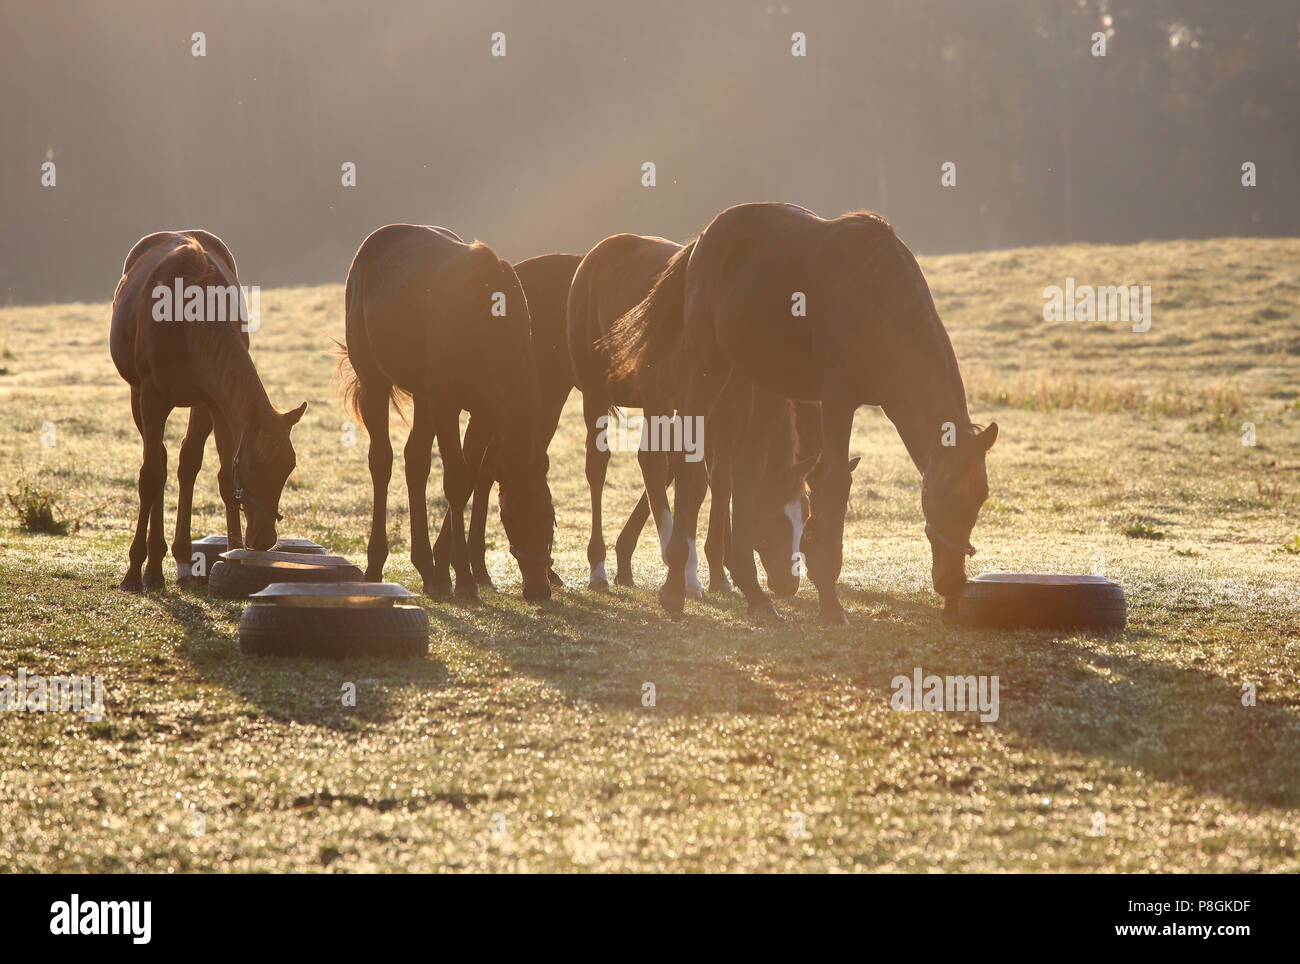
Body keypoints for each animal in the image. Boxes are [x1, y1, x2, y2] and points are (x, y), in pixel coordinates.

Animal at [108, 229, 306, 592]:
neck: (188, 322)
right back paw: (152, 566)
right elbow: (150, 476)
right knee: (158, 463)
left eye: (289, 467)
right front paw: (134, 571)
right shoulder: (152, 396)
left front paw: (233, 554)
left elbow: (222, 476)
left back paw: (179, 559)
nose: (263, 538)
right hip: (137, 395)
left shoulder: (211, 400)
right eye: (254, 466)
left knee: (183, 464)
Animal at [335, 227, 553, 602]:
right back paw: (376, 565)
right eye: (512, 517)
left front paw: (445, 571)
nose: (539, 588)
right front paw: (463, 578)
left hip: (423, 400)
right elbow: (454, 478)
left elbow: (467, 479)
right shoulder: (446, 403)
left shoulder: (483, 411)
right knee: (382, 461)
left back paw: (426, 566)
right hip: (375, 381)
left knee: (416, 461)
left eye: (550, 519)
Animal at [569, 232, 811, 597]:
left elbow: (719, 481)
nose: (789, 583)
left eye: (806, 516)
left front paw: (715, 574)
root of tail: (596, 255)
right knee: (607, 467)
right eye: (773, 516)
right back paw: (601, 567)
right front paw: (688, 570)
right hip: (607, 395)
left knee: (653, 464)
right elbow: (692, 480)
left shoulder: (727, 416)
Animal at [605, 203, 993, 626]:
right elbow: (836, 486)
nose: (952, 580)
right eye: (942, 496)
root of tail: (703, 239)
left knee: (744, 474)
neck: (877, 293)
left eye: (980, 498)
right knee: (690, 467)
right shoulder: (837, 400)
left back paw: (754, 593)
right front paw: (830, 601)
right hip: (708, 371)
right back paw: (677, 587)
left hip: (763, 388)